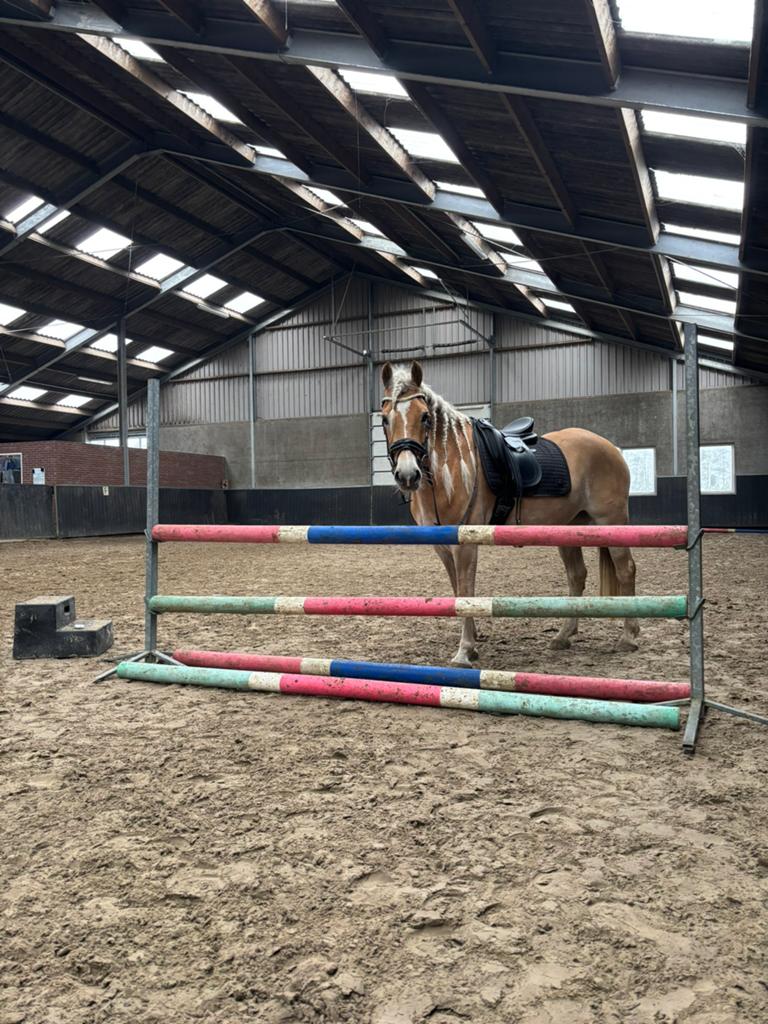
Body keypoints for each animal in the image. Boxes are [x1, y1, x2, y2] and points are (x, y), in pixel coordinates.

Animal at [380, 360, 638, 666]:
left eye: (424, 418)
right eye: (385, 419)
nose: (408, 475)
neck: (450, 469)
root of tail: (611, 448)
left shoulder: (465, 544)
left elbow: (466, 590)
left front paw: (464, 650)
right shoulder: (442, 547)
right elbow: (457, 591)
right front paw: (473, 643)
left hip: (612, 522)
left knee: (625, 570)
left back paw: (628, 637)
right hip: (567, 530)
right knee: (577, 575)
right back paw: (563, 636)